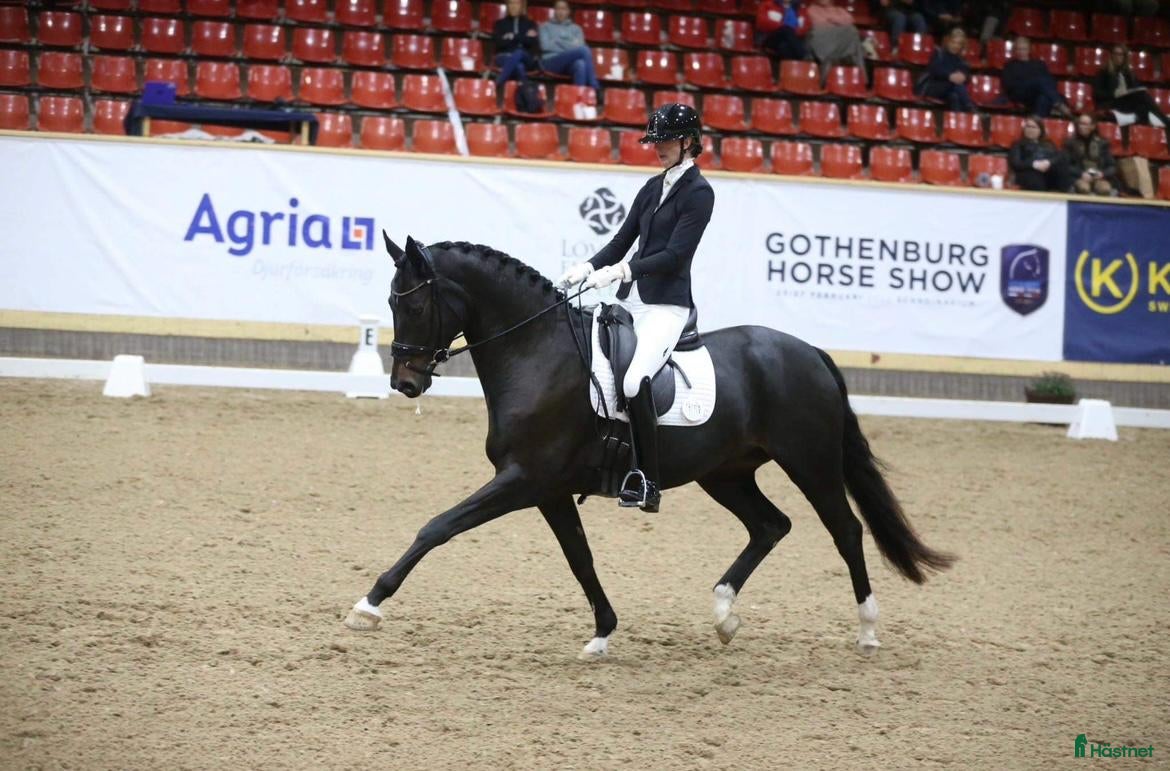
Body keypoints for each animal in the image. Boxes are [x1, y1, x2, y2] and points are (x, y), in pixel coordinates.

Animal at [343, 235, 954, 658]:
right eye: (391, 304)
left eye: (413, 305)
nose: (405, 382)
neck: (537, 352)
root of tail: (810, 352)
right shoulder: (548, 490)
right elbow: (580, 558)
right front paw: (602, 635)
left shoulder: (523, 479)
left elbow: (437, 527)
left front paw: (368, 604)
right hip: (726, 473)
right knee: (770, 525)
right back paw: (724, 614)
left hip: (811, 461)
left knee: (845, 530)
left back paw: (868, 632)